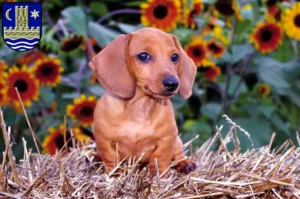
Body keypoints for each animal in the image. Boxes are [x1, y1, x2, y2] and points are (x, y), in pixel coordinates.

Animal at [88, 27, 197, 175]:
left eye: (175, 57)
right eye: (143, 56)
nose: (173, 83)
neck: (140, 108)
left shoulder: (167, 139)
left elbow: (160, 158)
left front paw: (159, 177)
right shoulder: (104, 139)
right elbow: (111, 159)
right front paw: (115, 175)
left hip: (178, 141)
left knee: (178, 153)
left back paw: (184, 163)